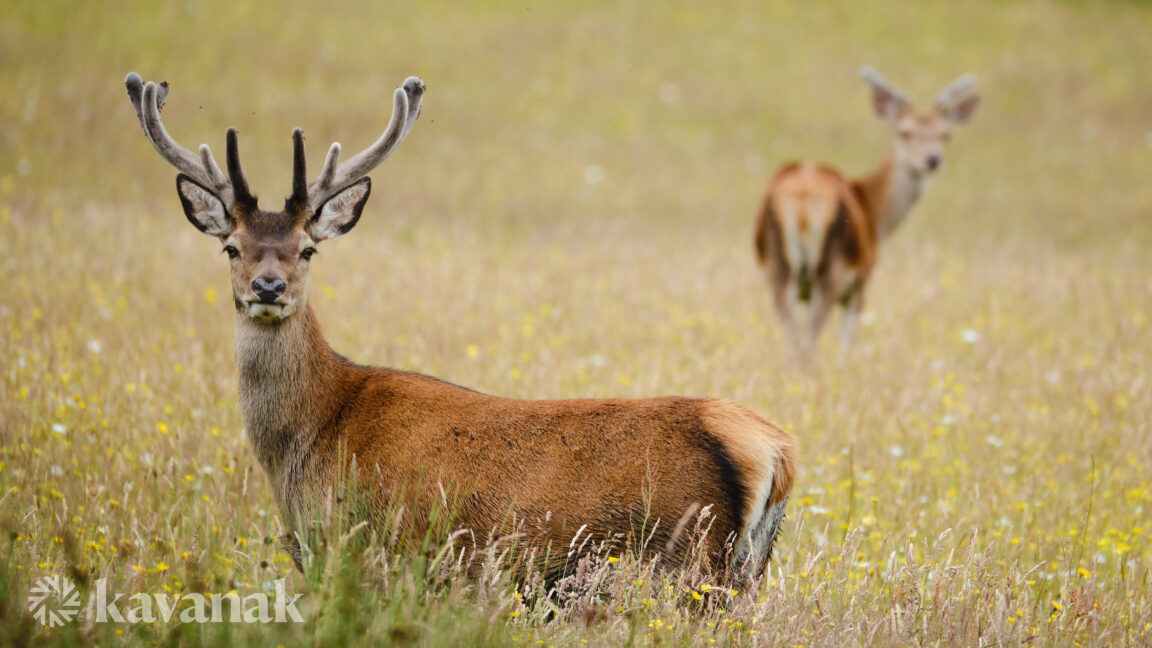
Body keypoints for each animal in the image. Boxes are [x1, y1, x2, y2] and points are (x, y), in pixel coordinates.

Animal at [124, 72, 797, 582]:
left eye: (307, 249)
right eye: (231, 247)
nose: (268, 288)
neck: (311, 435)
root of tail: (775, 450)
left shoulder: (369, 548)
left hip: (691, 557)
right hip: (746, 566)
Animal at [754, 66, 980, 352]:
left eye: (945, 134)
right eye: (904, 132)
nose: (932, 160)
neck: (874, 211)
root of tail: (803, 197)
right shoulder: (861, 281)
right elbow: (845, 347)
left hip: (781, 269)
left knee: (795, 338)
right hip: (832, 271)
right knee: (808, 342)